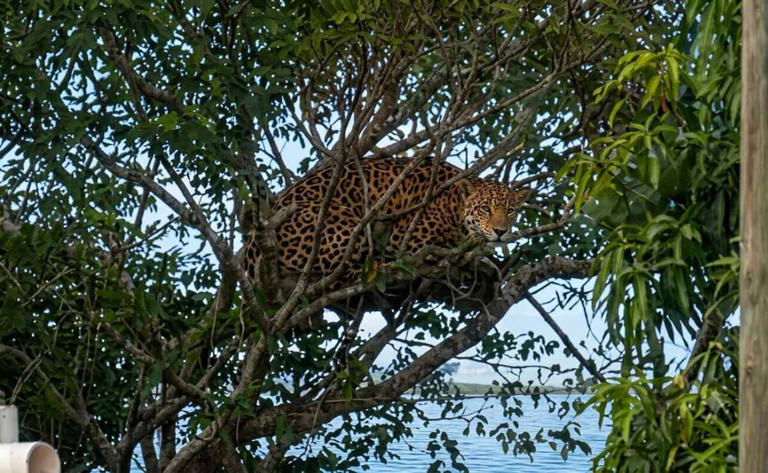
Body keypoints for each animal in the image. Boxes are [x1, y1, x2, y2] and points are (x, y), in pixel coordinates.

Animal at [244, 157, 530, 285]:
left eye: (511, 211)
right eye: (485, 209)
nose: (501, 231)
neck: (453, 204)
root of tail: (251, 249)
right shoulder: (411, 238)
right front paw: (481, 258)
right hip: (344, 220)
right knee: (345, 272)